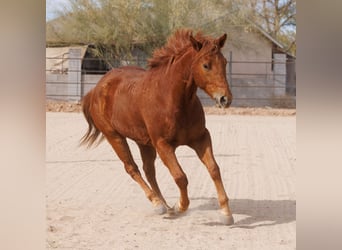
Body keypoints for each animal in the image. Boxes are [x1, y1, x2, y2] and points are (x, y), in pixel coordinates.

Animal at [81, 29, 235, 225]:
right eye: (206, 65)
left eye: (224, 62)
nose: (225, 99)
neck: (174, 100)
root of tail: (96, 89)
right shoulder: (163, 144)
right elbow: (180, 177)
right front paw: (180, 206)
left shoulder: (201, 138)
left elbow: (214, 169)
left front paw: (226, 213)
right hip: (114, 137)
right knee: (132, 168)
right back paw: (158, 204)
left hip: (143, 142)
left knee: (149, 171)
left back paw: (164, 205)